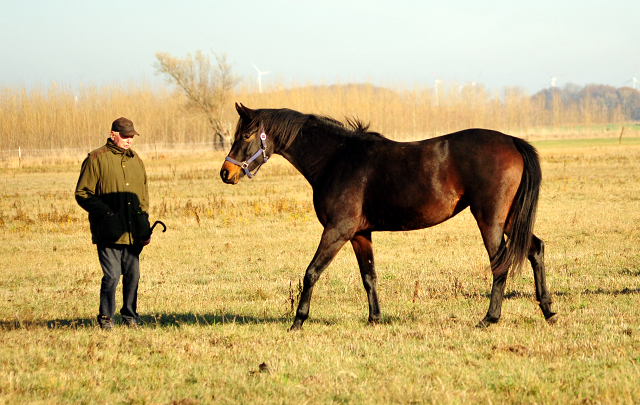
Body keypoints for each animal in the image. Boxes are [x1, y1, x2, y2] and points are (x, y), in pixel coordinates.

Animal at [220, 103, 556, 328]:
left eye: (247, 135)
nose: (226, 173)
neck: (336, 158)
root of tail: (512, 141)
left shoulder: (337, 231)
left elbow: (311, 272)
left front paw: (298, 321)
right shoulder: (359, 234)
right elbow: (369, 276)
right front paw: (375, 318)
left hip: (490, 220)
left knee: (500, 264)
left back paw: (489, 318)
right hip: (510, 219)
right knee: (535, 249)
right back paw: (548, 310)